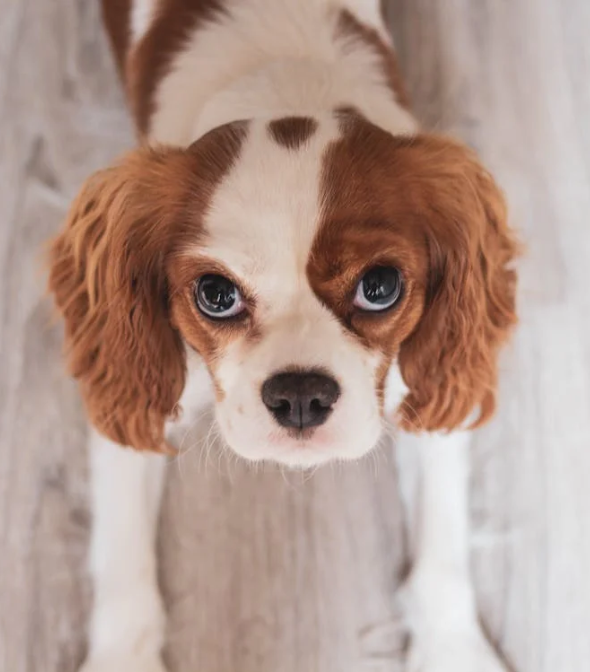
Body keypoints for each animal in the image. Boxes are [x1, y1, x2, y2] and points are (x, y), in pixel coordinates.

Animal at [48, 1, 519, 670]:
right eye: (215, 294)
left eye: (380, 286)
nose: (299, 394)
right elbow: (123, 560)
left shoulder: (422, 382)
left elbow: (443, 538)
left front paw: (452, 647)